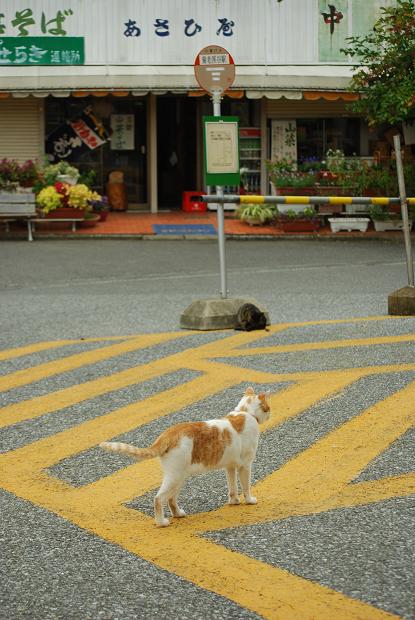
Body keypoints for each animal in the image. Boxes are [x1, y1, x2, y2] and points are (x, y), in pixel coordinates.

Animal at [99, 388, 272, 528]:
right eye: (268, 407)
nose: (270, 414)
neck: (245, 412)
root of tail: (167, 434)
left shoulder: (230, 466)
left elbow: (232, 487)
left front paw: (234, 501)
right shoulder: (245, 465)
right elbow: (246, 486)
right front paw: (249, 500)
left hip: (179, 477)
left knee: (170, 499)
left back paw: (178, 514)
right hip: (175, 476)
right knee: (158, 498)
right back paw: (161, 522)